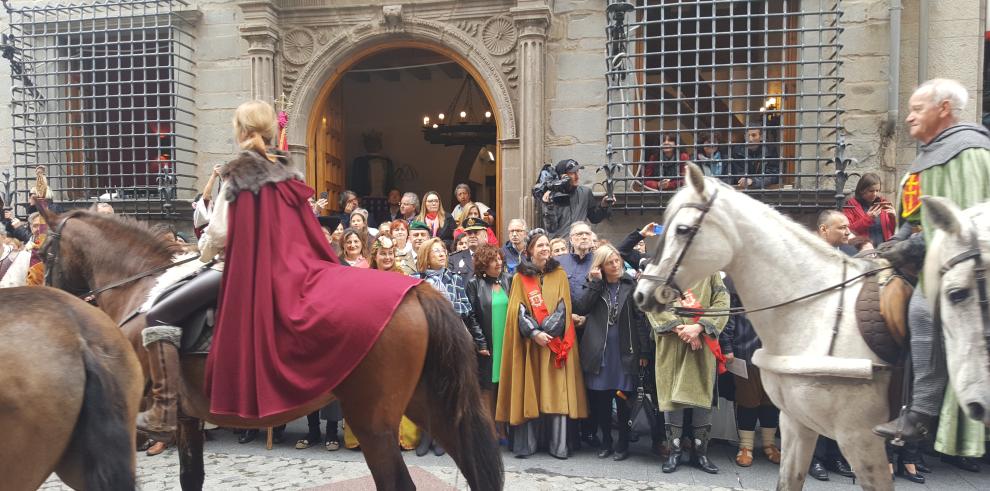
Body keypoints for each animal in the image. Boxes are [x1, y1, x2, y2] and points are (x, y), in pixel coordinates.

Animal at [38, 209, 504, 491]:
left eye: (45, 251)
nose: (54, 302)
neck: (141, 288)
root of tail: (416, 290)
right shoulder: (188, 417)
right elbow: (192, 477)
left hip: (373, 422)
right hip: (428, 401)